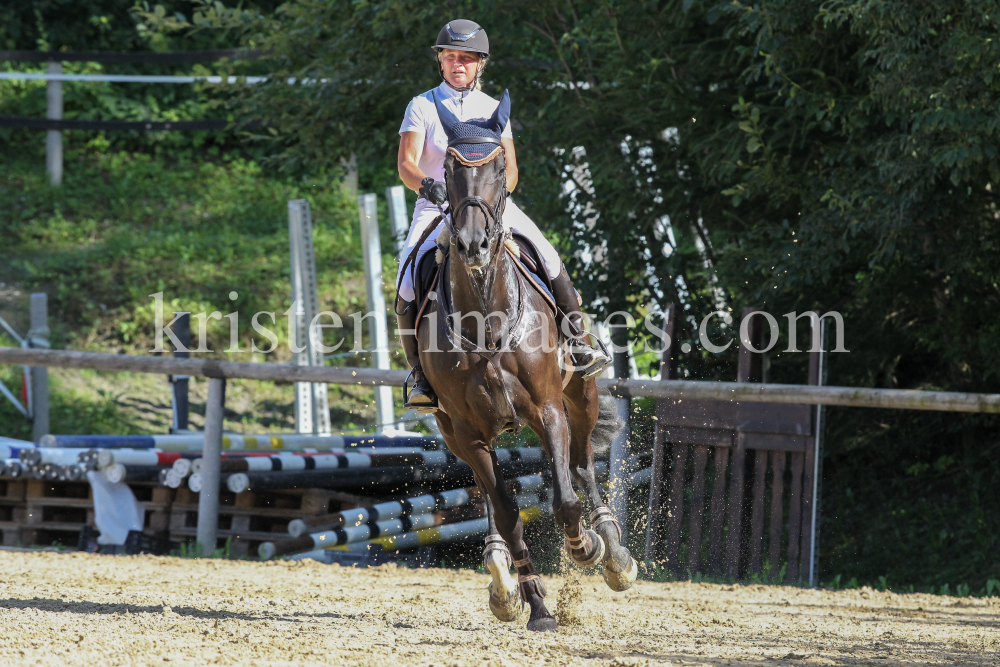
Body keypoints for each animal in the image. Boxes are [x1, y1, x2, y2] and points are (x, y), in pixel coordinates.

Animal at [410, 92, 636, 632]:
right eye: (448, 169)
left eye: (498, 166)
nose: (473, 244)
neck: (485, 317)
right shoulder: (467, 429)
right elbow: (510, 513)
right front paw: (534, 604)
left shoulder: (548, 408)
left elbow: (566, 498)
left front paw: (585, 548)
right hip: (458, 431)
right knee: (491, 498)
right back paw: (502, 582)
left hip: (580, 397)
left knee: (582, 466)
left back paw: (613, 553)